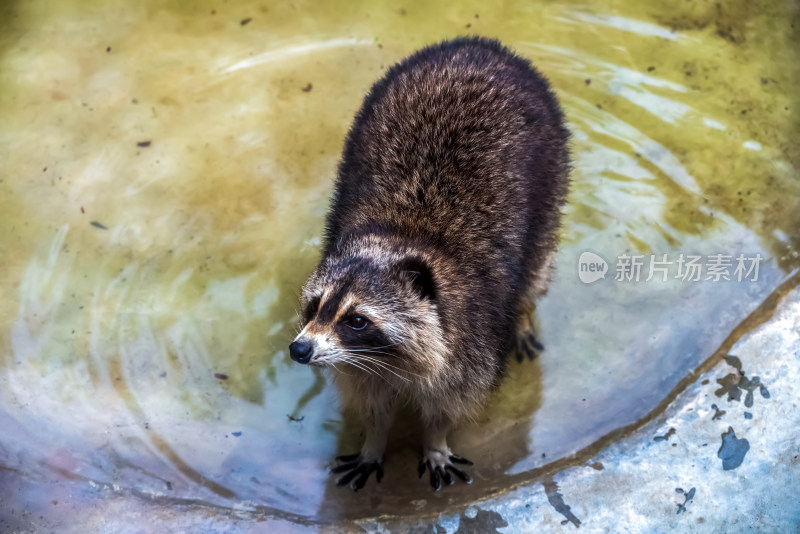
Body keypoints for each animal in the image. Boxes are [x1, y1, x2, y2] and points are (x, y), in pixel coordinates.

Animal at [288, 35, 568, 492]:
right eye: (315, 306)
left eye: (357, 320)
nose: (299, 349)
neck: (402, 238)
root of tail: (478, 45)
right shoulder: (358, 363)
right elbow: (372, 403)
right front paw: (374, 439)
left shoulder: (472, 337)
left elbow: (450, 403)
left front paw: (436, 440)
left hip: (553, 167)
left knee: (537, 265)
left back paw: (525, 312)